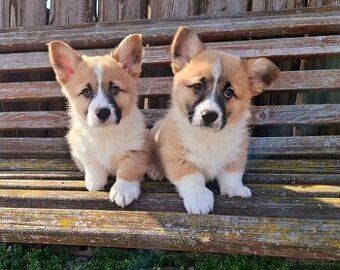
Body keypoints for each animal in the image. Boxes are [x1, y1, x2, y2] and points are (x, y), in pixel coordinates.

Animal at [48, 33, 149, 207]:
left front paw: (123, 190)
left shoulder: (136, 149)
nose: (102, 113)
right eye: (86, 92)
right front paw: (94, 182)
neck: (105, 134)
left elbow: (128, 169)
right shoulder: (81, 147)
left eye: (115, 89)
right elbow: (93, 164)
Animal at [148, 26, 278, 214]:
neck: (209, 136)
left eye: (229, 92)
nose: (209, 115)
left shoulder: (236, 153)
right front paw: (198, 197)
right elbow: (192, 177)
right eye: (198, 86)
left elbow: (232, 174)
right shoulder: (177, 156)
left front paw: (235, 189)